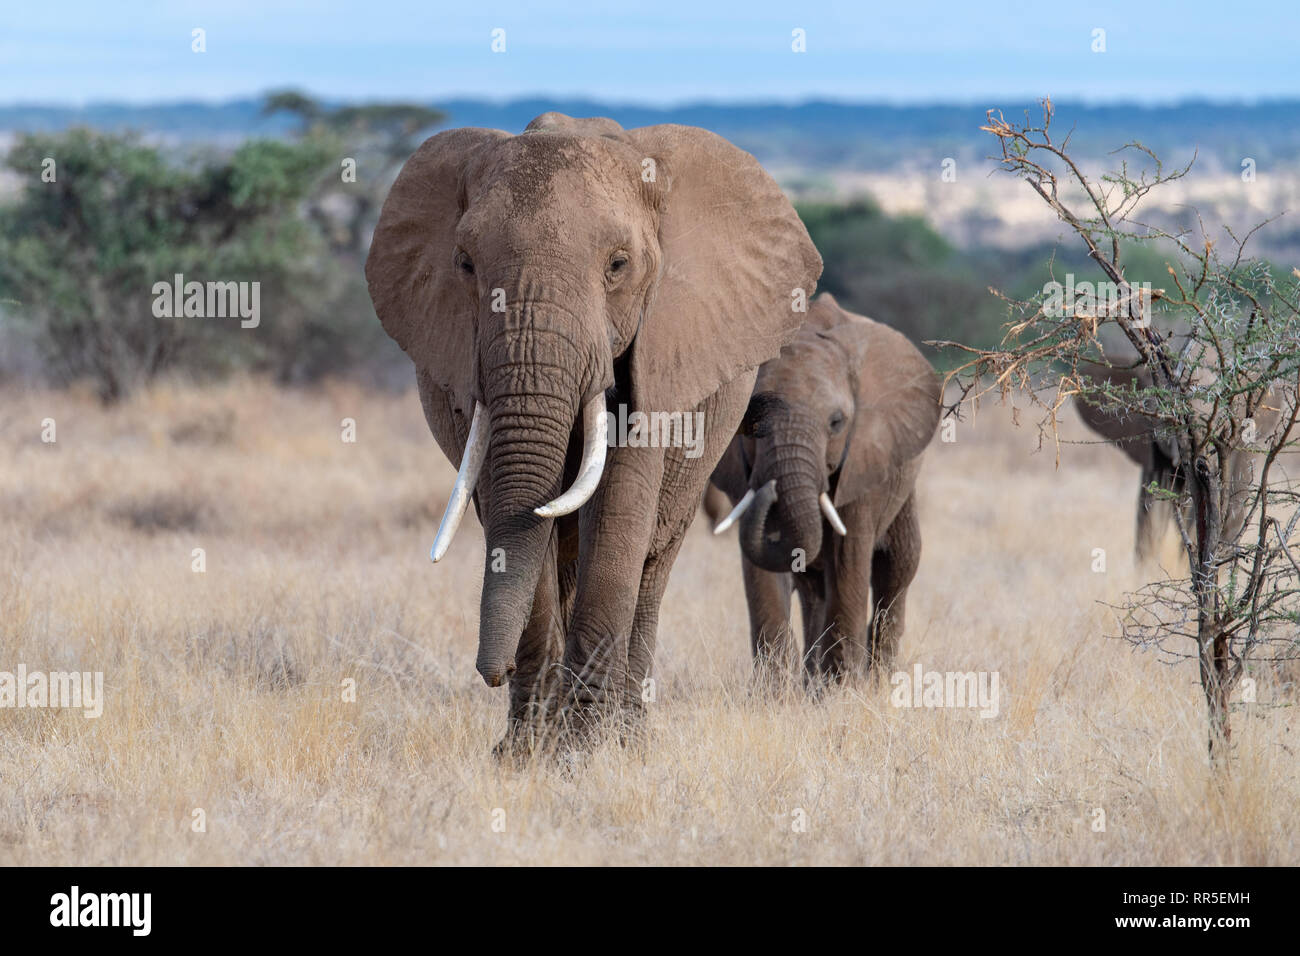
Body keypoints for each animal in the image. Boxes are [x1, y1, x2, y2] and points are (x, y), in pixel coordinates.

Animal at [361, 113, 816, 754]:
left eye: (618, 265)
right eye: (465, 264)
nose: (491, 672)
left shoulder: (658, 352)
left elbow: (620, 509)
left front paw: (583, 752)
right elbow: (514, 516)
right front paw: (526, 754)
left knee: (653, 558)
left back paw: (630, 737)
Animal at [712, 295, 935, 686]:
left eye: (836, 423)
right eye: (749, 424)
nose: (771, 491)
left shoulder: (863, 458)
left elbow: (849, 557)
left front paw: (841, 690)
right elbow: (763, 568)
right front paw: (773, 693)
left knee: (896, 565)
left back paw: (877, 682)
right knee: (812, 587)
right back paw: (811, 684)